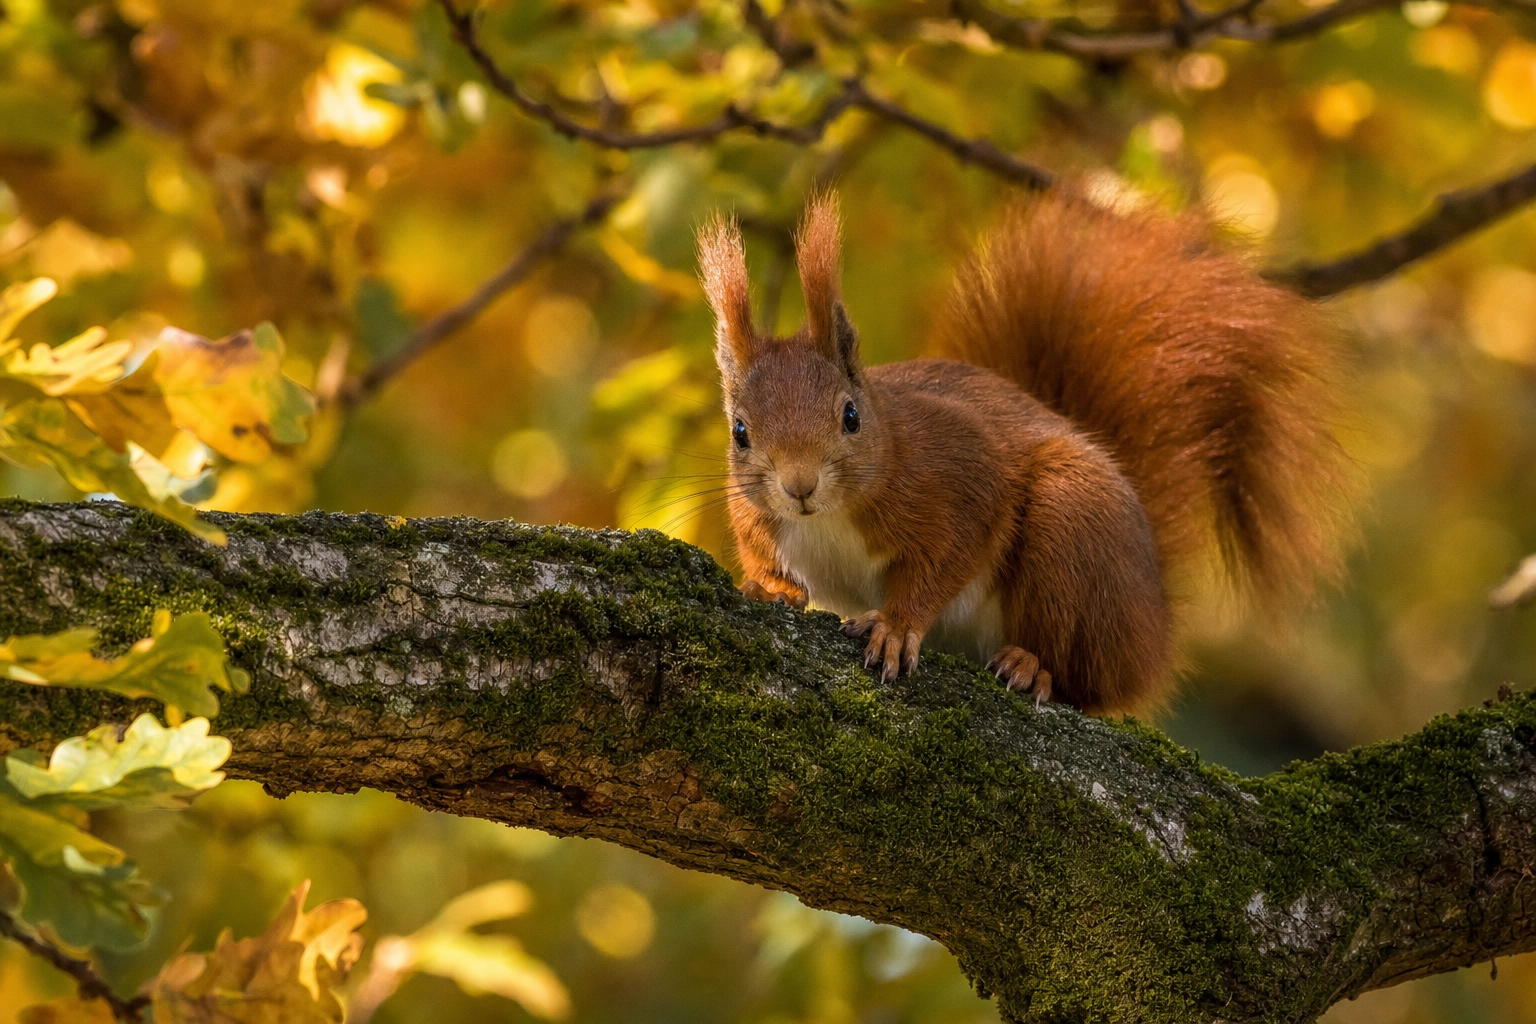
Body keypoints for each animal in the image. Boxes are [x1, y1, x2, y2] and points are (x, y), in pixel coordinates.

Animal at [697, 189, 1350, 715]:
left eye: (851, 417)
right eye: (740, 432)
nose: (799, 486)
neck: (831, 517)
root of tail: (1154, 617)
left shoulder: (960, 480)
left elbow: (947, 558)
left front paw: (896, 626)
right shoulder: (755, 515)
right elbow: (765, 556)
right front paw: (770, 587)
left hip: (1072, 529)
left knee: (1087, 682)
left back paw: (1033, 666)